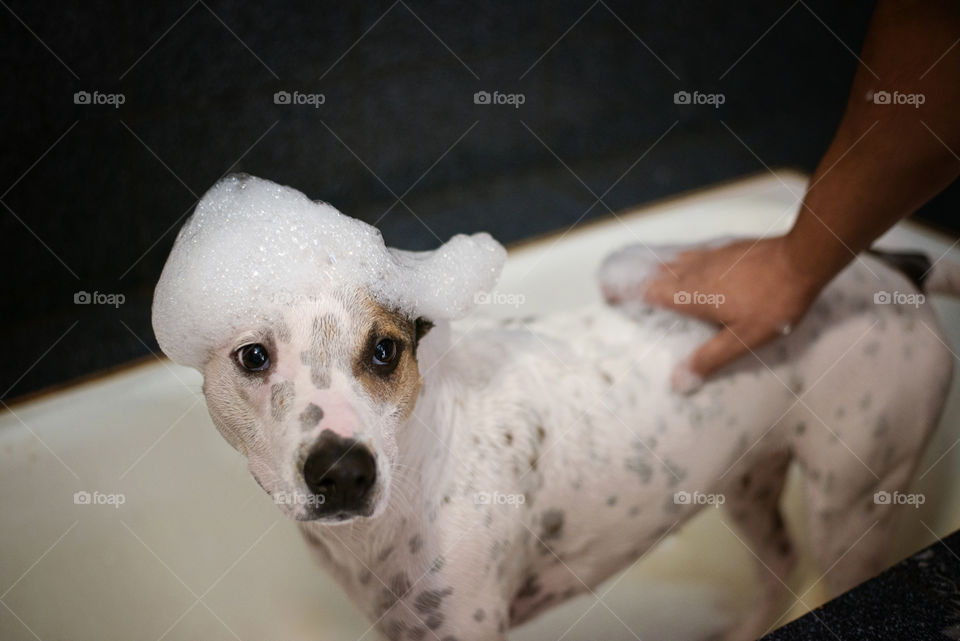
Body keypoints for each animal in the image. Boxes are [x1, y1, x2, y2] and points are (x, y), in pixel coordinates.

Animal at [154, 175, 956, 640]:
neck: (422, 472)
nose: (344, 469)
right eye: (253, 356)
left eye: (383, 351)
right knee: (779, 565)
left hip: (849, 507)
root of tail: (889, 266)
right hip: (749, 481)